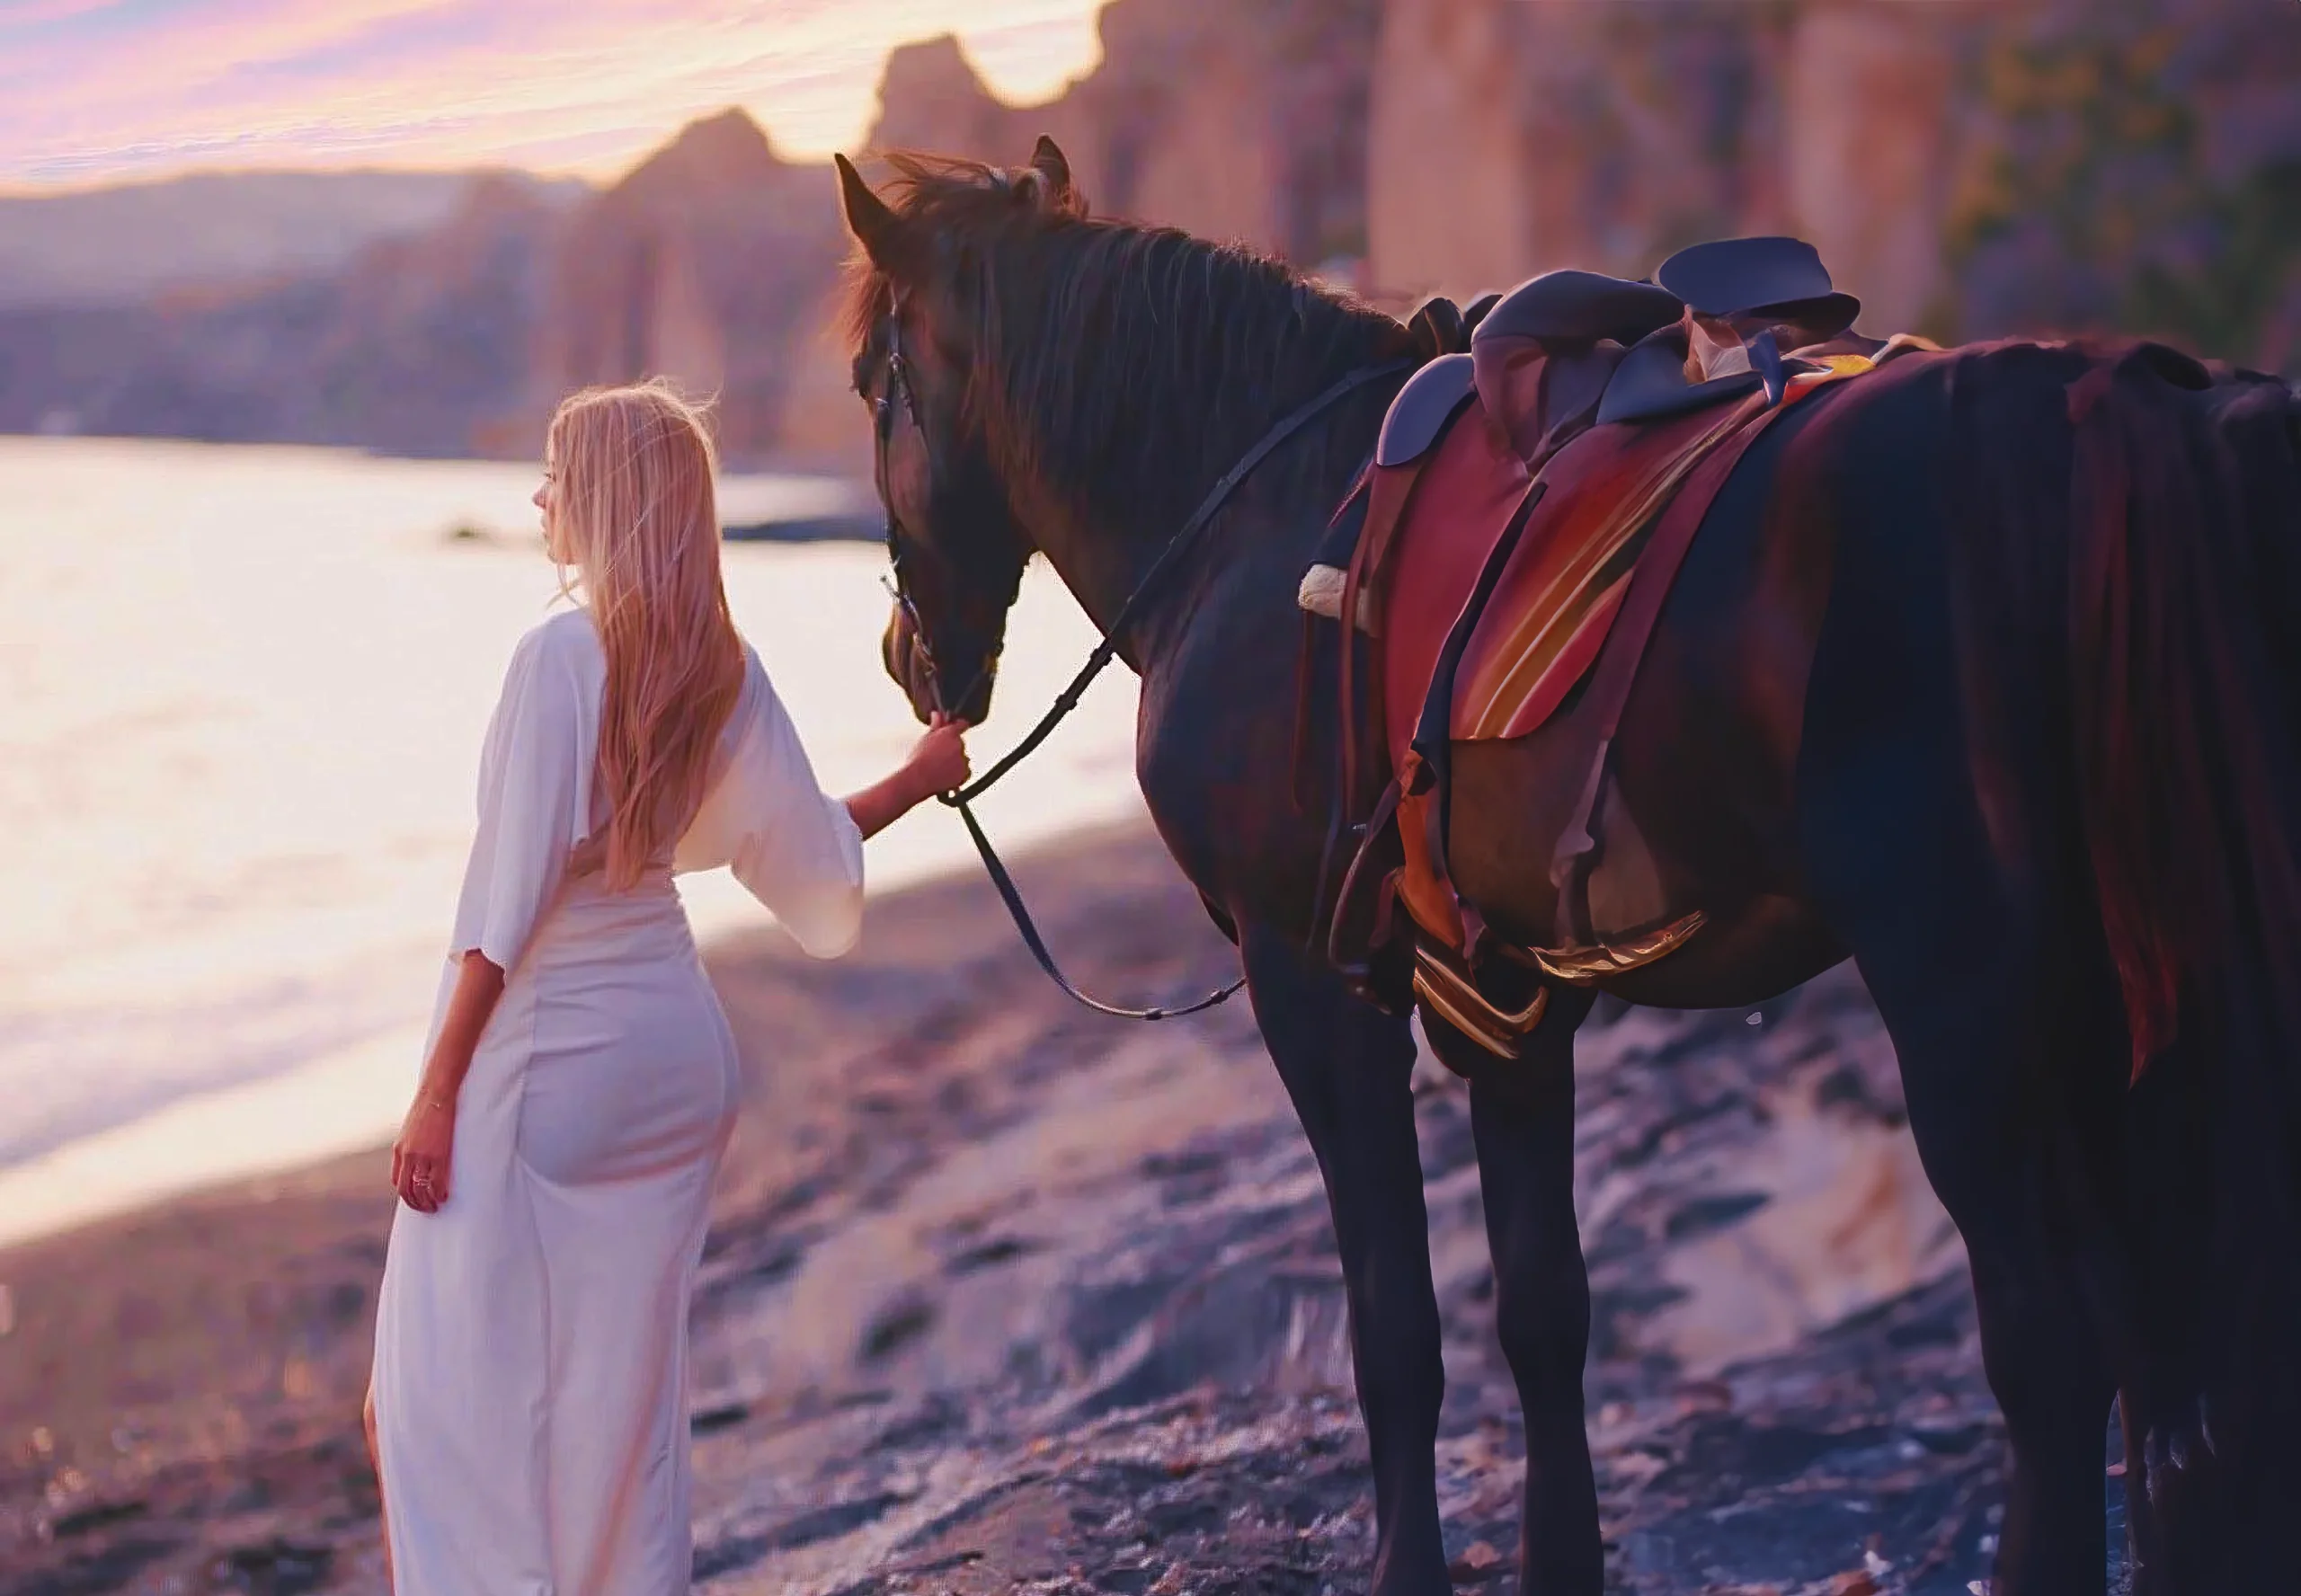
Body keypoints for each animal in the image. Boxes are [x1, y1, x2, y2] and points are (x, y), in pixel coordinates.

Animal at [831, 137, 2301, 1596]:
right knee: (2180, 1364)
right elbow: (1544, 1311)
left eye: (869, 392)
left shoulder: (1311, 988)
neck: (1252, 516)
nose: (905, 660)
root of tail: (2103, 403)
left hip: (1965, 998)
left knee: (2059, 1350)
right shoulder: (1508, 998)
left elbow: (1396, 1331)